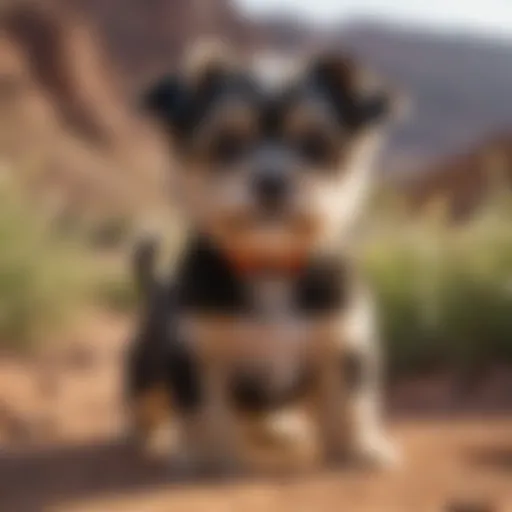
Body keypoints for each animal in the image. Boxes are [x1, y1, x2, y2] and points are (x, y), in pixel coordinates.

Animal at [126, 42, 402, 474]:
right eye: (226, 143)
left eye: (314, 145)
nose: (271, 182)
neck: (270, 265)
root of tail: (158, 285)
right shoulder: (197, 352)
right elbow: (206, 413)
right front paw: (211, 461)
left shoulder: (343, 341)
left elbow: (350, 402)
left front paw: (360, 449)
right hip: (147, 369)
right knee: (147, 406)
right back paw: (161, 440)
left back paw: (278, 429)